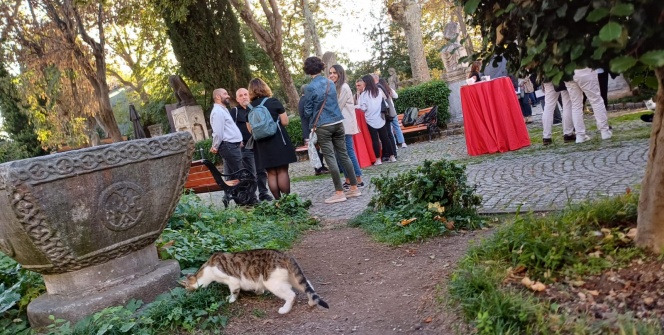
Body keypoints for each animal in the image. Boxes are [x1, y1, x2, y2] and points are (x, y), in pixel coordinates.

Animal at [179, 249, 330, 316]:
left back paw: (285, 309)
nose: (186, 295)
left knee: (292, 295)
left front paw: (231, 299)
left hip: (272, 282)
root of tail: (284, 255)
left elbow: (234, 291)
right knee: (308, 285)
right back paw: (312, 301)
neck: (207, 270)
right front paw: (258, 292)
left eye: (186, 288)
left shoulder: (232, 280)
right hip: (293, 278)